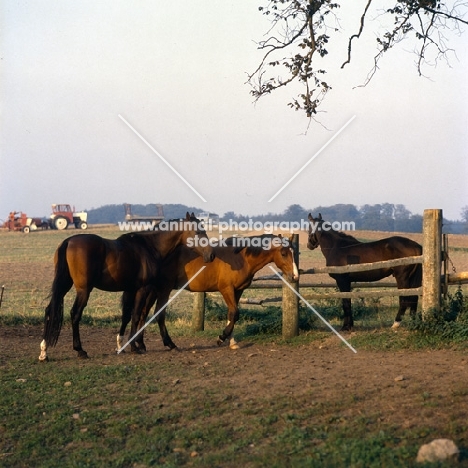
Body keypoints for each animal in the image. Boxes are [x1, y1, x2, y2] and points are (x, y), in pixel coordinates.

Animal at [38, 213, 214, 362]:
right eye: (198, 231)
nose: (211, 255)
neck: (150, 246)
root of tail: (68, 242)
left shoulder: (130, 289)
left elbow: (126, 316)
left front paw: (120, 344)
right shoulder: (143, 289)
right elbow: (136, 315)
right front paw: (134, 347)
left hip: (64, 285)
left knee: (50, 311)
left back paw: (44, 352)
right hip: (83, 290)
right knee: (75, 314)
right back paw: (80, 350)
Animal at [118, 234, 300, 352]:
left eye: (293, 252)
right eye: (284, 253)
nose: (295, 276)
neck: (241, 258)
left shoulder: (238, 291)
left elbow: (232, 315)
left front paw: (232, 341)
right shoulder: (226, 289)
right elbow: (234, 313)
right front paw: (221, 338)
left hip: (153, 290)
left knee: (143, 314)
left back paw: (141, 344)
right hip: (163, 289)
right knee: (156, 314)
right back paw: (167, 344)